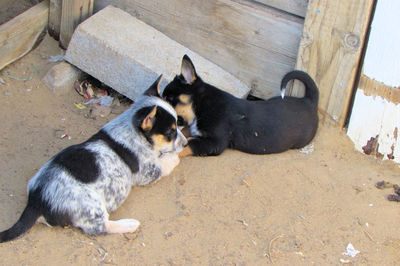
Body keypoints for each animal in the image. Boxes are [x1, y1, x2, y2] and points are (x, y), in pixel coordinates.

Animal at [0, 74, 188, 241]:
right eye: (170, 133)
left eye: (177, 125)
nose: (185, 143)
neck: (132, 129)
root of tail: (36, 201)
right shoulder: (148, 173)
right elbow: (168, 160)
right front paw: (176, 154)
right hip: (93, 208)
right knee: (100, 228)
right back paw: (129, 224)